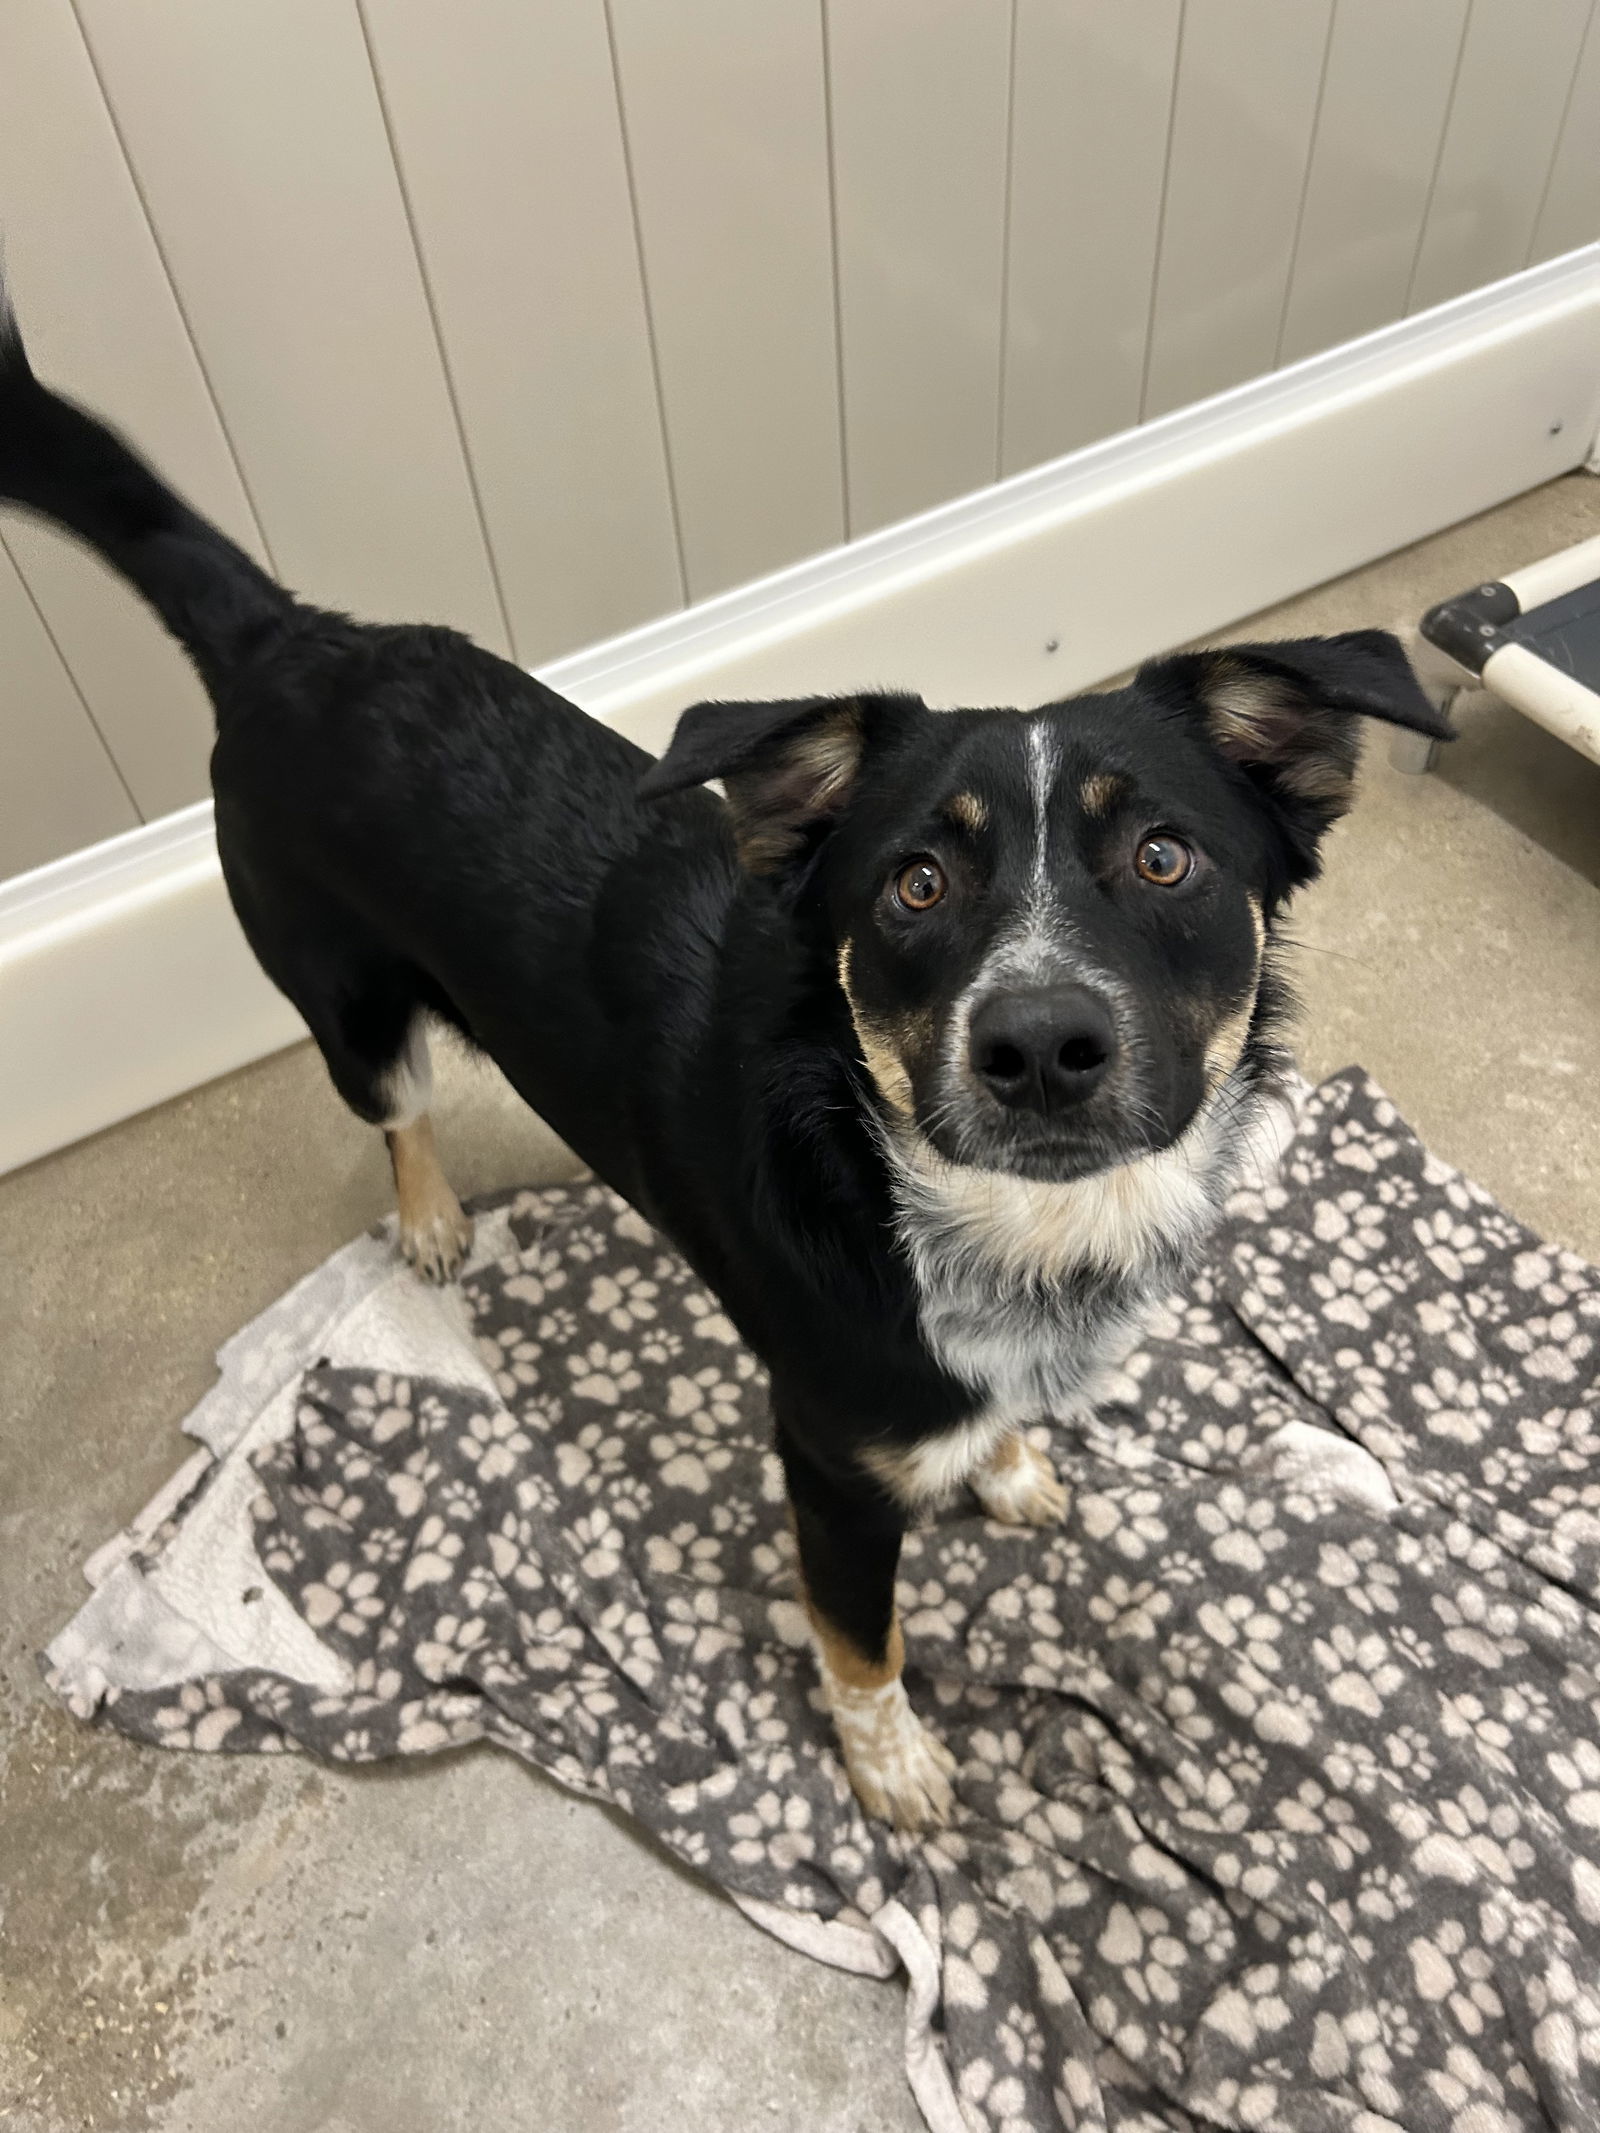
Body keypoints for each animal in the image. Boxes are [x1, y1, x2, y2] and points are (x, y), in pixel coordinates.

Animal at [0, 275, 1450, 1825]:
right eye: (913, 884)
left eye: (1166, 856)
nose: (1042, 1043)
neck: (977, 1214)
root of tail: (292, 637)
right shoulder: (828, 1462)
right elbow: (862, 1641)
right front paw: (894, 1773)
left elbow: (994, 1429)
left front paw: (1006, 1465)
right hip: (349, 1009)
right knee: (397, 1116)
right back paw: (435, 1220)